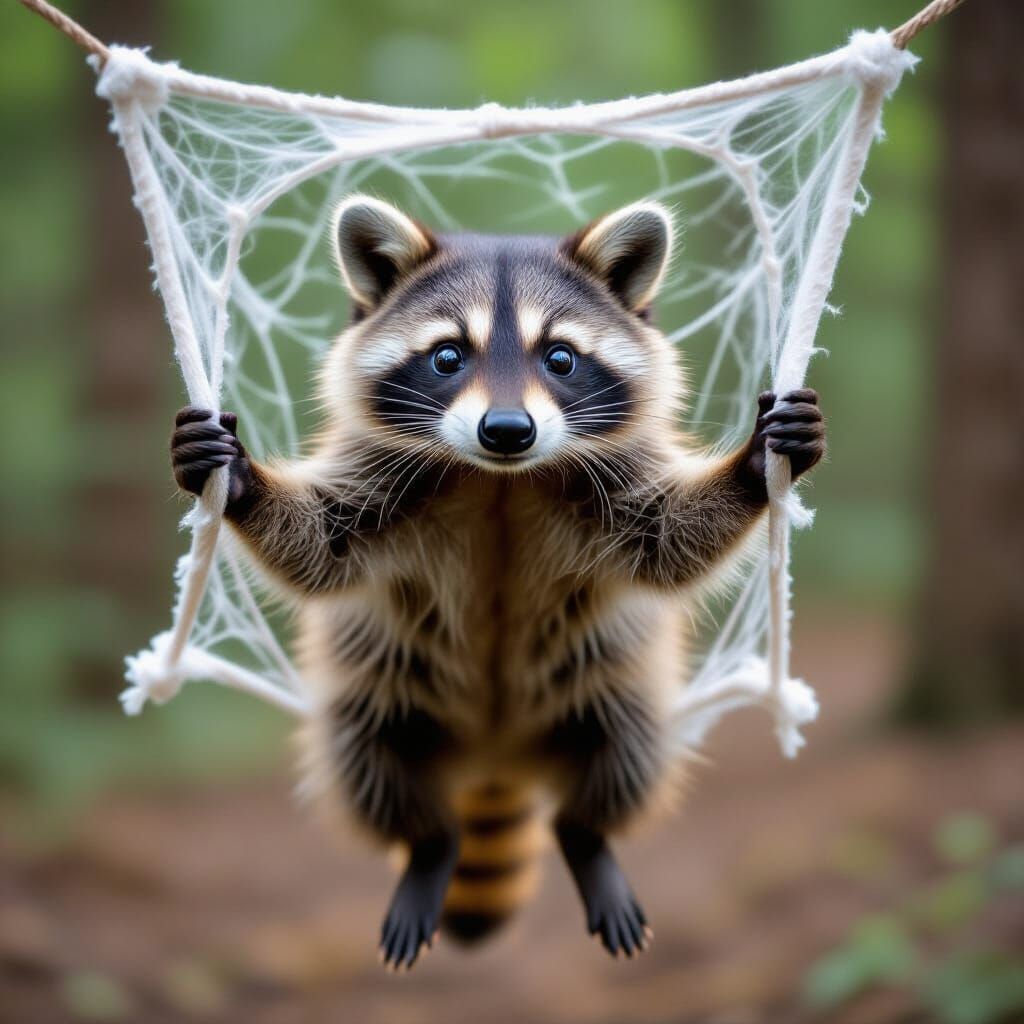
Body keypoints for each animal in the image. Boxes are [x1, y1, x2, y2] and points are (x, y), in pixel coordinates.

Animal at [171, 195, 825, 969]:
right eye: (448, 357)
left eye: (561, 357)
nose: (507, 429)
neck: (499, 481)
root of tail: (495, 757)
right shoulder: (382, 483)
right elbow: (321, 544)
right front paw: (242, 483)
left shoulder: (613, 485)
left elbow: (669, 537)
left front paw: (753, 469)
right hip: (380, 689)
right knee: (368, 759)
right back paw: (430, 843)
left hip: (609, 683)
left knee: (628, 753)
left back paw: (587, 835)